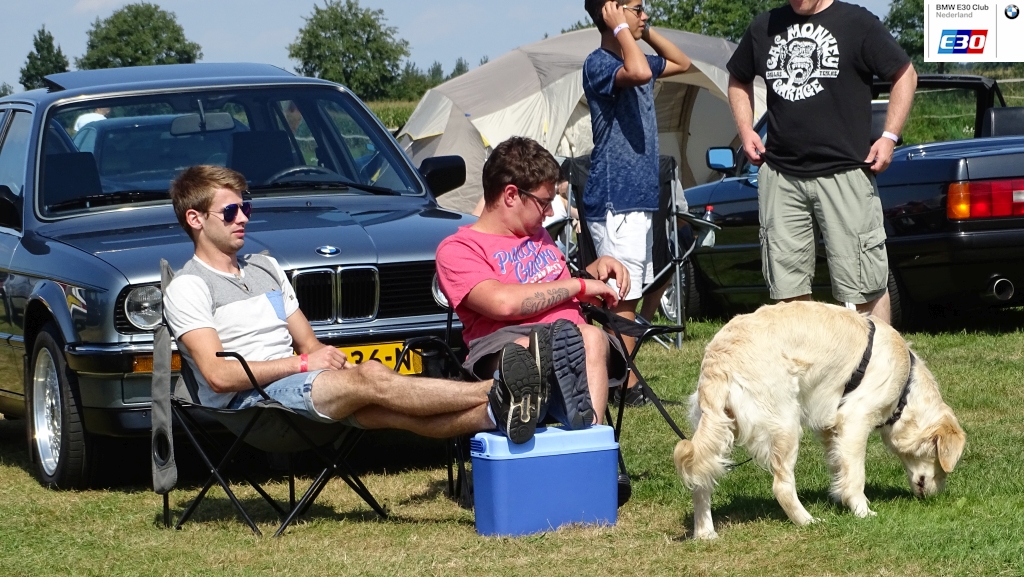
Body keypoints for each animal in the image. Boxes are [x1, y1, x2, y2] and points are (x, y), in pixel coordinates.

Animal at [673, 301, 966, 539]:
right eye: (942, 463)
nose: (937, 497)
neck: (906, 387)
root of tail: (718, 359)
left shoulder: (830, 427)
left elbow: (839, 467)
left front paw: (839, 498)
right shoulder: (855, 421)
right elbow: (856, 475)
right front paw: (861, 510)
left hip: (718, 428)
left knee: (701, 482)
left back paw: (705, 533)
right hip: (786, 424)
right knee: (781, 485)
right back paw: (807, 521)